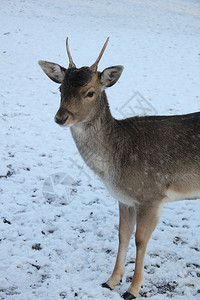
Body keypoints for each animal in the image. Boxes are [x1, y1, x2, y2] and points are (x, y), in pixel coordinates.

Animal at [38, 38, 200, 298]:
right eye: (60, 89)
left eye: (90, 92)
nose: (61, 117)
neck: (115, 167)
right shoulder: (125, 199)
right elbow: (122, 235)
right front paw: (111, 281)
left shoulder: (151, 195)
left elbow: (140, 240)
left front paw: (132, 289)